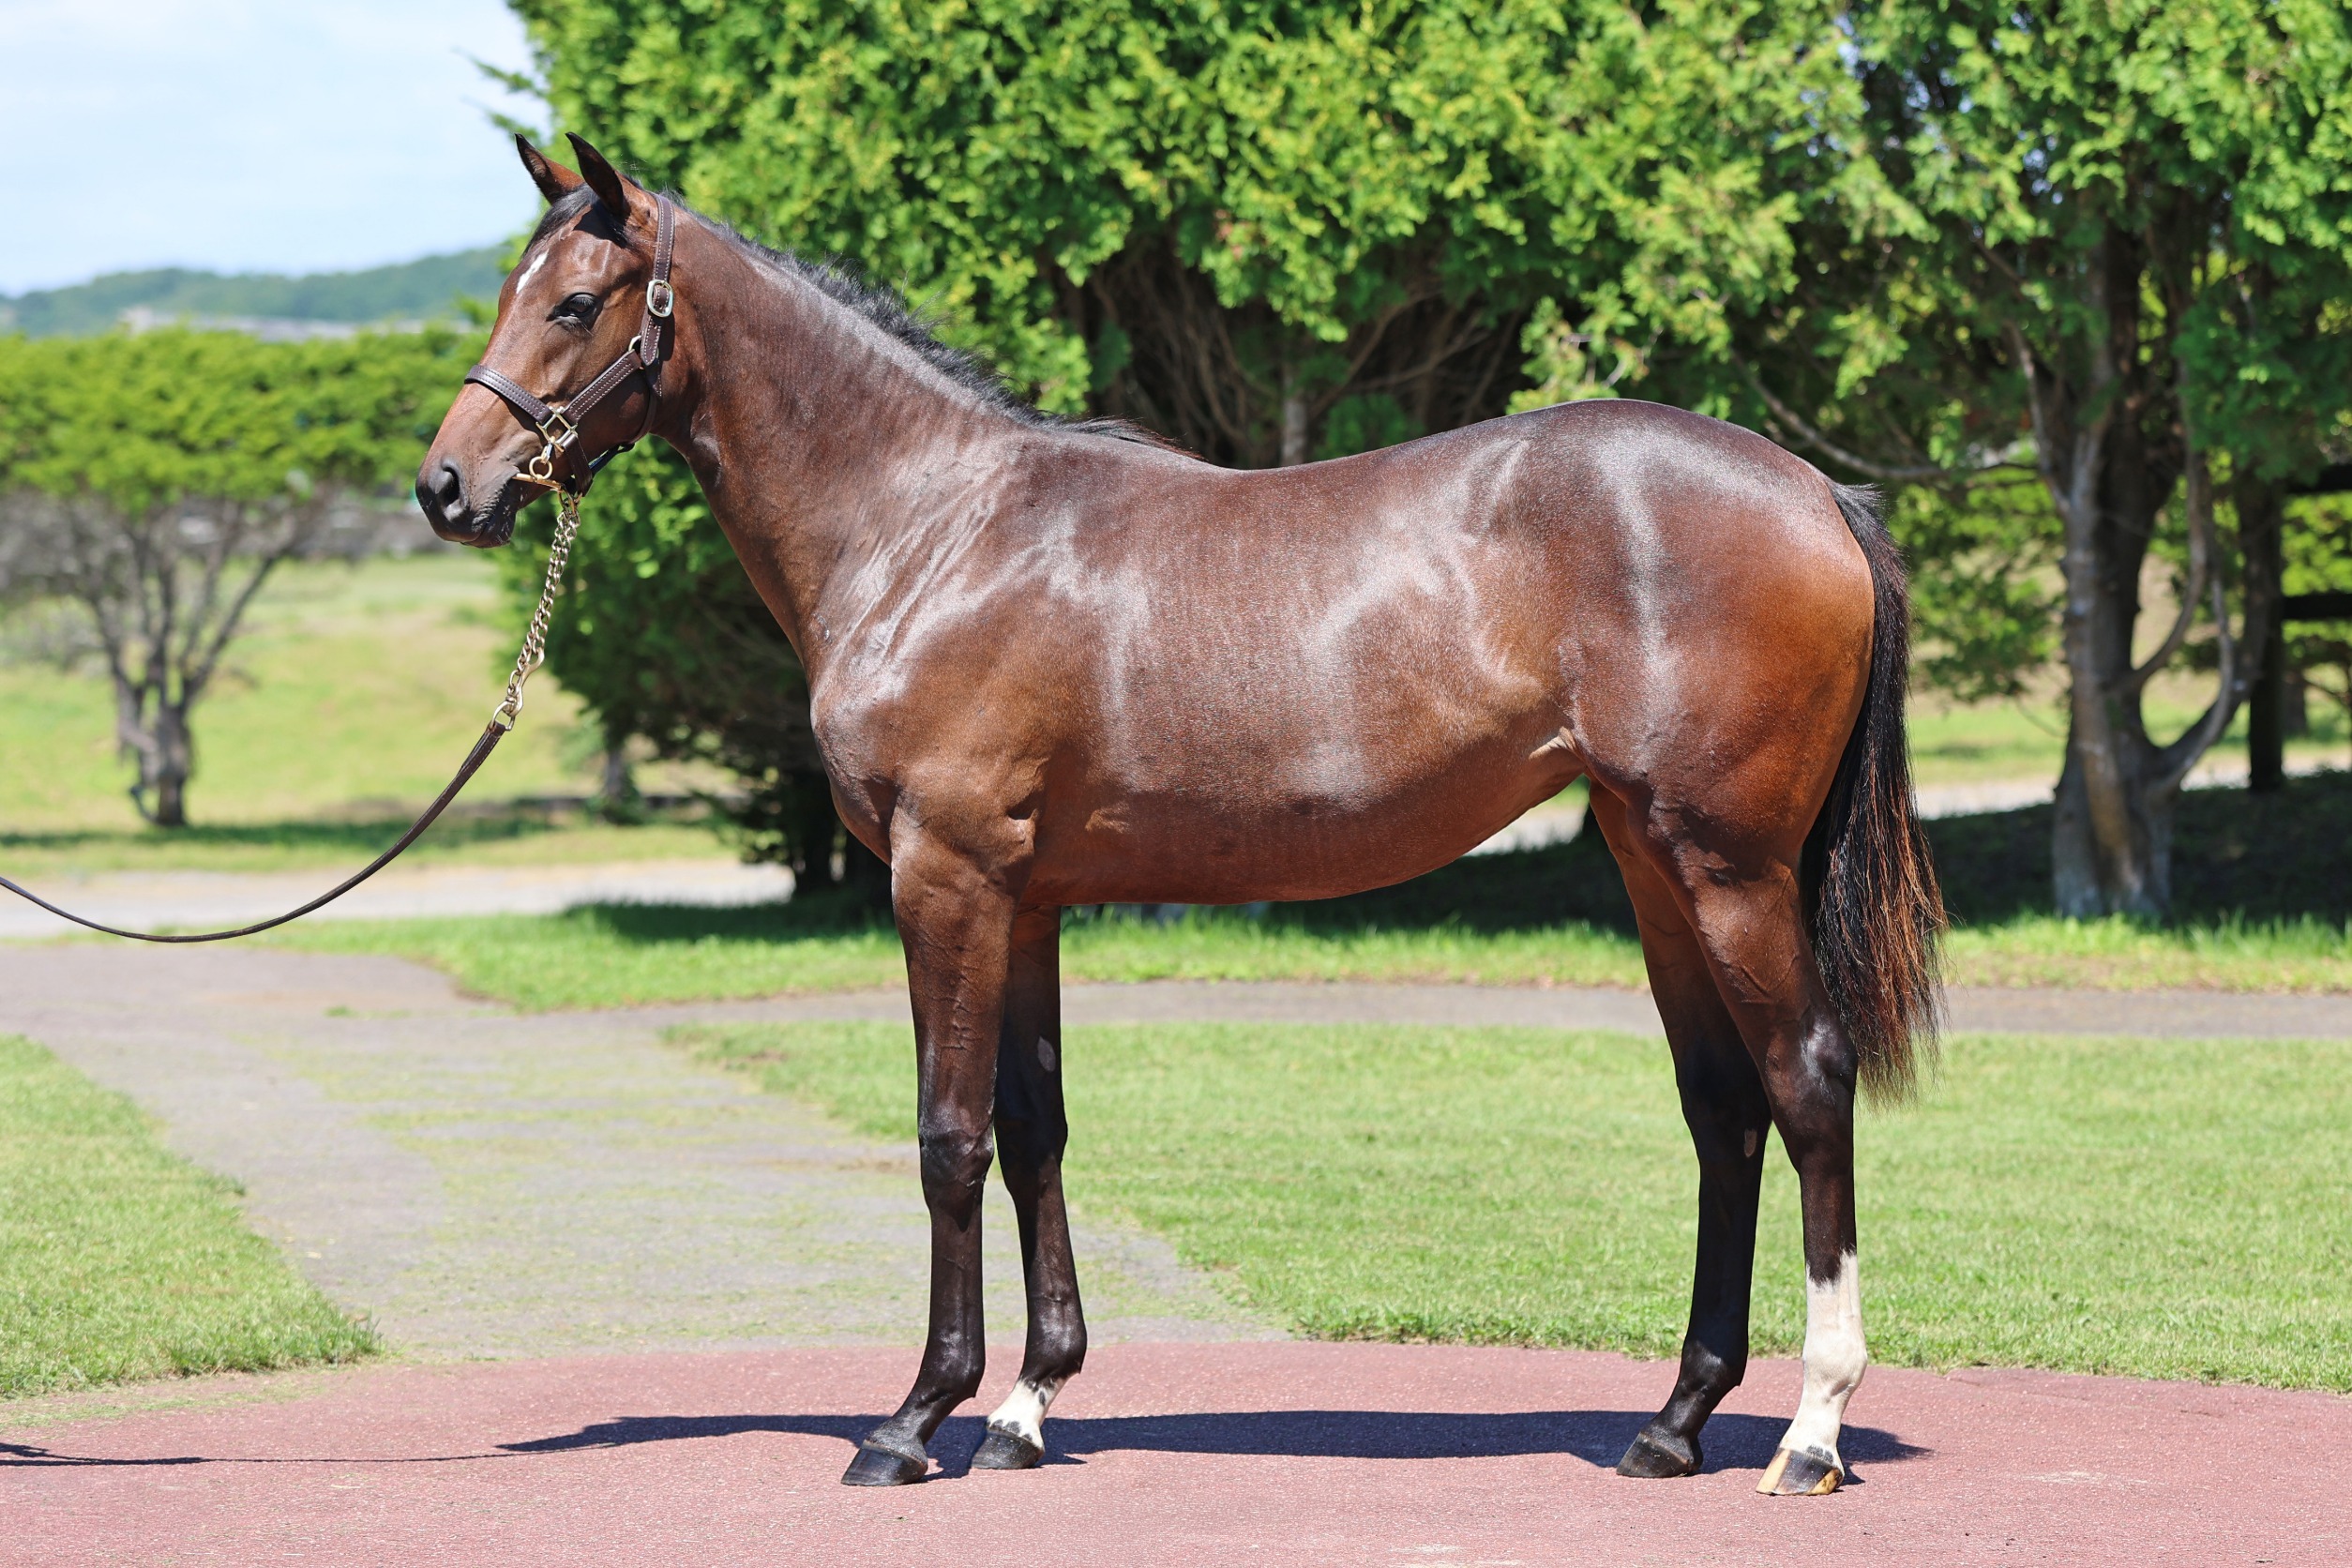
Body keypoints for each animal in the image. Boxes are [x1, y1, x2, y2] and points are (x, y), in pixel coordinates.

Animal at [418, 134, 1944, 1497]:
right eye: (508, 290)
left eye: (572, 303)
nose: (448, 486)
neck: (931, 529)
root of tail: (1817, 489)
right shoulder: (1025, 900)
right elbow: (1032, 1128)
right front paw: (1026, 1406)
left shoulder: (945, 878)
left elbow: (948, 1138)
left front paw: (915, 1419)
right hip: (1650, 862)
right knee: (1723, 1109)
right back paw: (1675, 1423)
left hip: (1730, 867)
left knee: (1807, 1082)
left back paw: (1812, 1431)